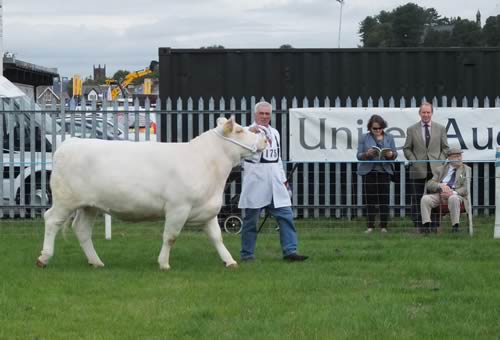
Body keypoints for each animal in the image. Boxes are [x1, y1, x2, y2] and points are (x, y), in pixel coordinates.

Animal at [37, 117, 268, 270]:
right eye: (239, 130)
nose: (264, 140)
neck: (207, 164)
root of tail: (71, 142)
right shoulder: (178, 207)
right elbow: (170, 237)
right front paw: (164, 263)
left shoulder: (207, 210)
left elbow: (217, 237)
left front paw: (229, 261)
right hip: (65, 200)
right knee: (51, 221)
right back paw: (44, 258)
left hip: (89, 205)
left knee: (82, 229)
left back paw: (96, 261)